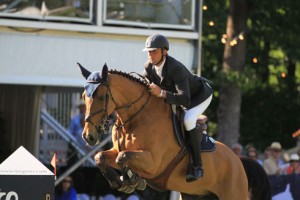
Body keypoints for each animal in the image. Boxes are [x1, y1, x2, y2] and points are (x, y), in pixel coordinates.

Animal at [78, 63, 272, 200]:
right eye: (83, 96)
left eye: (101, 96)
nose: (89, 136)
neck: (136, 117)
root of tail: (238, 160)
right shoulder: (117, 150)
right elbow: (101, 156)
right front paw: (123, 182)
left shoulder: (153, 162)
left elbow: (122, 157)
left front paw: (132, 181)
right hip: (194, 195)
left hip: (233, 194)